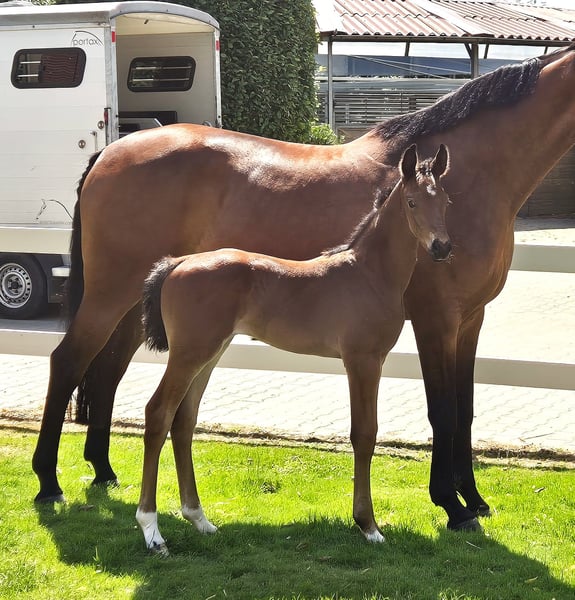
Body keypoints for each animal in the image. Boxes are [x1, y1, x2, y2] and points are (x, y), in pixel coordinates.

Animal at [136, 144, 452, 554]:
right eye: (412, 202)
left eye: (445, 201)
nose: (442, 247)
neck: (369, 273)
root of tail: (180, 262)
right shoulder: (362, 361)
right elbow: (364, 434)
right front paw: (368, 525)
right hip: (189, 353)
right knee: (159, 413)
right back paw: (151, 530)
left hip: (210, 352)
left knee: (184, 419)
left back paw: (200, 519)